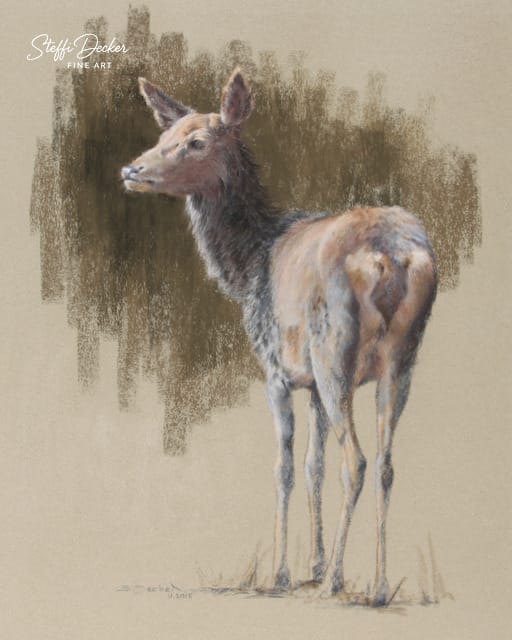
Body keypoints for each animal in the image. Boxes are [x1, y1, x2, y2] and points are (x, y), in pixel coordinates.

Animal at [121, 68, 437, 606]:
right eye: (165, 135)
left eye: (196, 142)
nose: (131, 169)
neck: (248, 267)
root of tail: (390, 257)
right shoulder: (310, 384)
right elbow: (312, 466)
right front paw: (312, 563)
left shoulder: (276, 371)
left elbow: (285, 468)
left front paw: (286, 574)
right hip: (402, 358)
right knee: (385, 463)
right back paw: (376, 585)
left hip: (335, 350)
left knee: (356, 460)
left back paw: (336, 582)